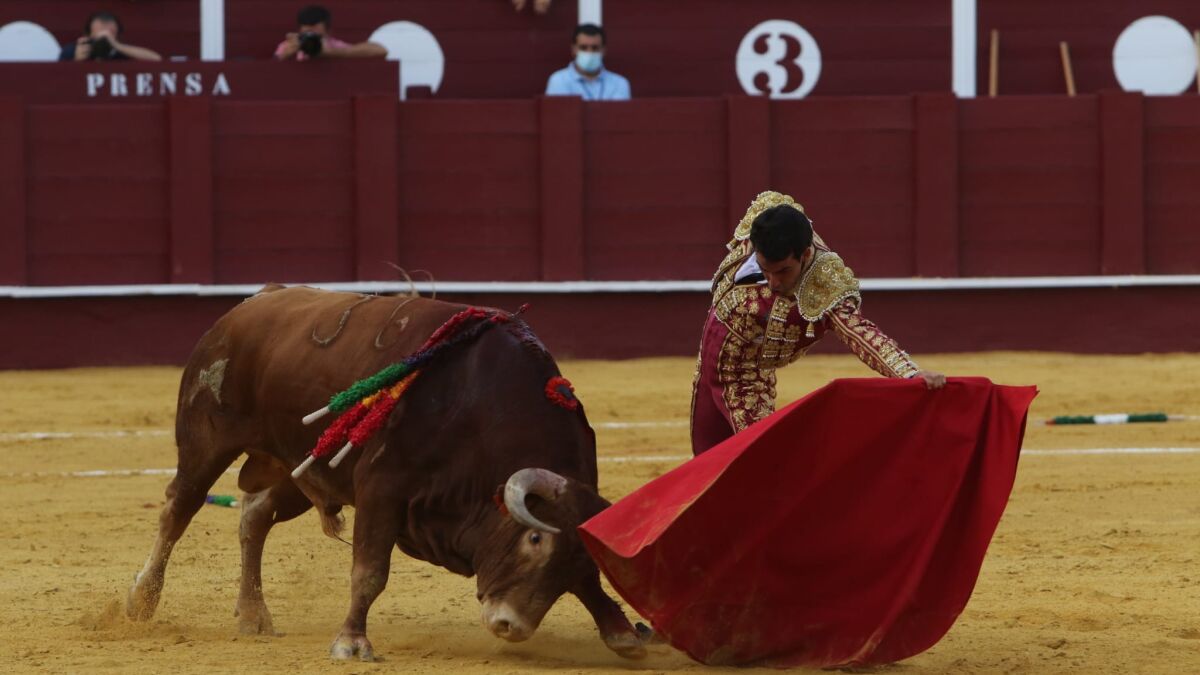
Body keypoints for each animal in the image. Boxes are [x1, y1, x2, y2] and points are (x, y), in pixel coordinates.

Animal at [125, 285, 647, 661]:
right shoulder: (382, 490)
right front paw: (351, 644)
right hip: (205, 442)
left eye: (577, 558)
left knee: (254, 515)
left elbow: (591, 585)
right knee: (179, 508)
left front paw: (622, 631)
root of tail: (248, 306)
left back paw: (253, 615)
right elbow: (370, 570)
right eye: (534, 539)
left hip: (301, 467)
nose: (510, 626)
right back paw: (141, 600)